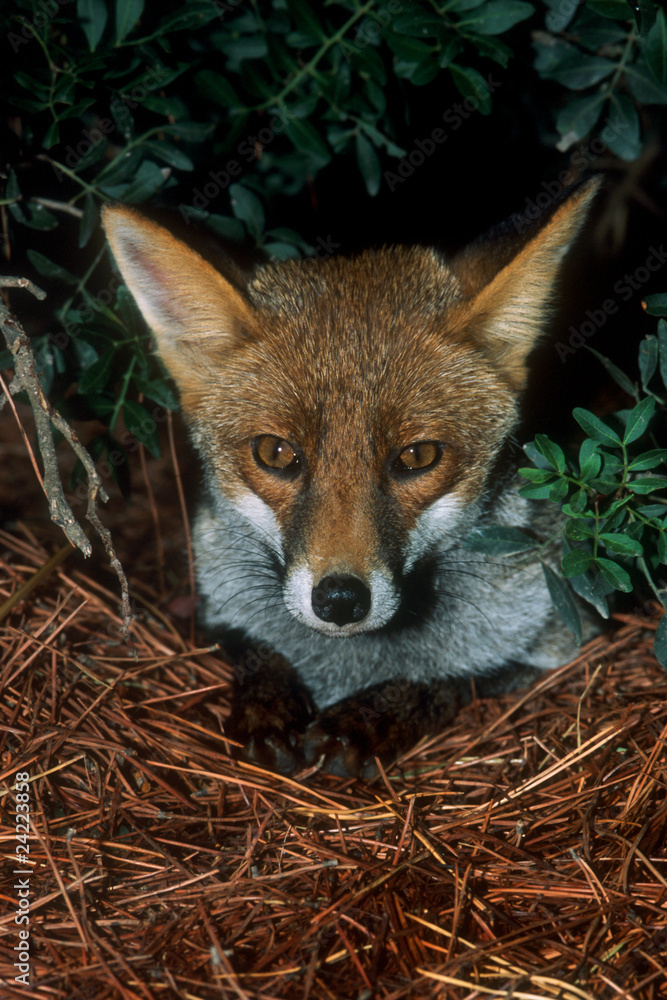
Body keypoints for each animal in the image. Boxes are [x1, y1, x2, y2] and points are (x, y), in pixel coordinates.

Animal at [102, 177, 600, 777]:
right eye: (276, 452)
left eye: (417, 456)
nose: (340, 601)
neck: (348, 663)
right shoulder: (219, 615)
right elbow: (255, 653)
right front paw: (269, 701)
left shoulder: (563, 637)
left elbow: (457, 680)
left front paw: (377, 714)